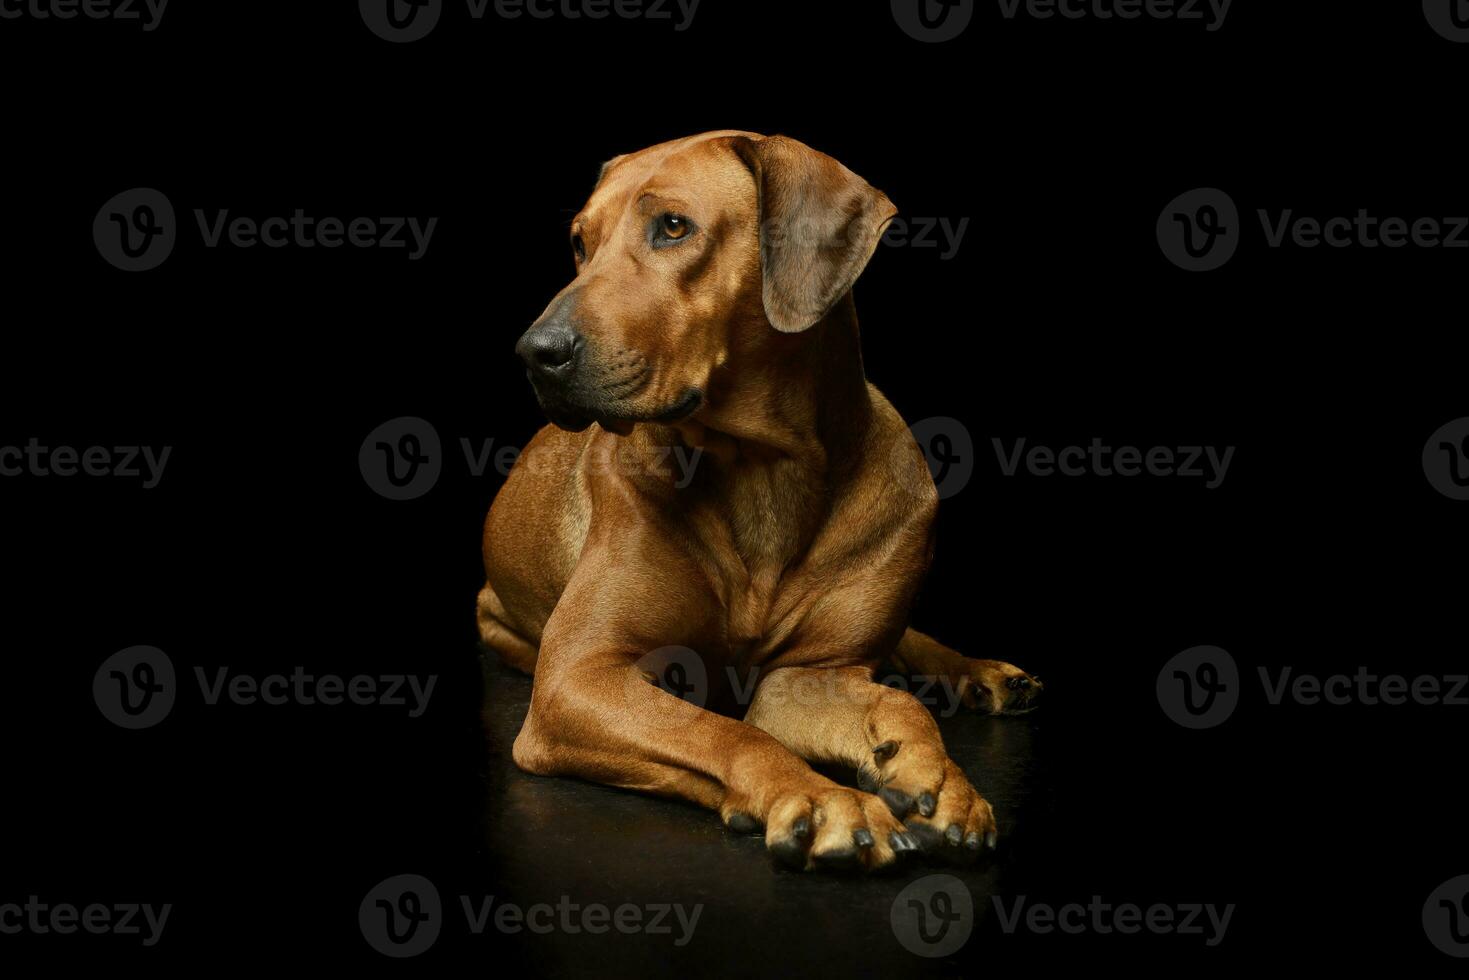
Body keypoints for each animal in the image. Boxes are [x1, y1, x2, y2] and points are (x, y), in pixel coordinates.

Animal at [475, 130, 1040, 875]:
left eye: (673, 227)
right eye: (578, 241)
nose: (535, 352)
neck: (761, 470)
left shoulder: (807, 675)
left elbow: (896, 704)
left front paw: (938, 775)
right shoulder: (577, 678)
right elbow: (724, 732)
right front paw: (823, 799)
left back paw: (980, 673)